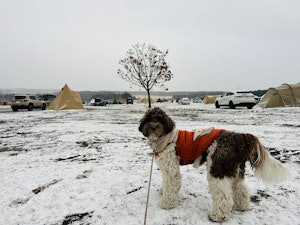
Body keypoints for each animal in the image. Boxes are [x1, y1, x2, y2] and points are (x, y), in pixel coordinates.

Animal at [139, 108, 290, 222]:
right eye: (148, 119)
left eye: (160, 119)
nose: (153, 126)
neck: (165, 138)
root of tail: (238, 137)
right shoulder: (166, 168)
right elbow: (166, 182)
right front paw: (163, 191)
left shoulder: (171, 169)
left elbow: (171, 185)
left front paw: (166, 203)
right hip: (236, 169)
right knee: (241, 189)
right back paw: (241, 206)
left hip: (217, 169)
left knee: (224, 196)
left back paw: (218, 216)